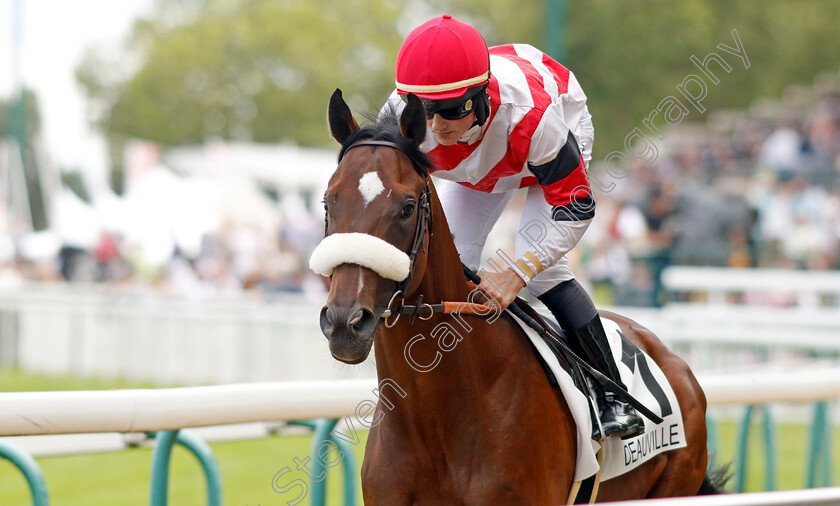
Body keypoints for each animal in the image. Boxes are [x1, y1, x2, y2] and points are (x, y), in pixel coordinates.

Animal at [312, 89, 720, 504]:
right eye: (328, 201)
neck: (435, 417)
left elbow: (574, 206)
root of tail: (671, 358)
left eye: (407, 207)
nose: (345, 322)